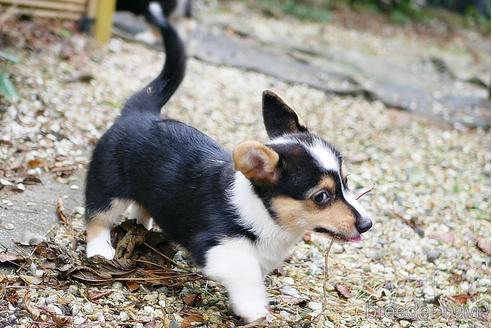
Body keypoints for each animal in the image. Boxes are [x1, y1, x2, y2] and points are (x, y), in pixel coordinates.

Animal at [84, 18, 370, 322]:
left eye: (346, 181)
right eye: (321, 197)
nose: (368, 224)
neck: (265, 213)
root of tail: (139, 112)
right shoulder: (216, 248)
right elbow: (246, 274)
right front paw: (254, 309)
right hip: (107, 186)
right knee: (98, 216)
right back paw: (99, 250)